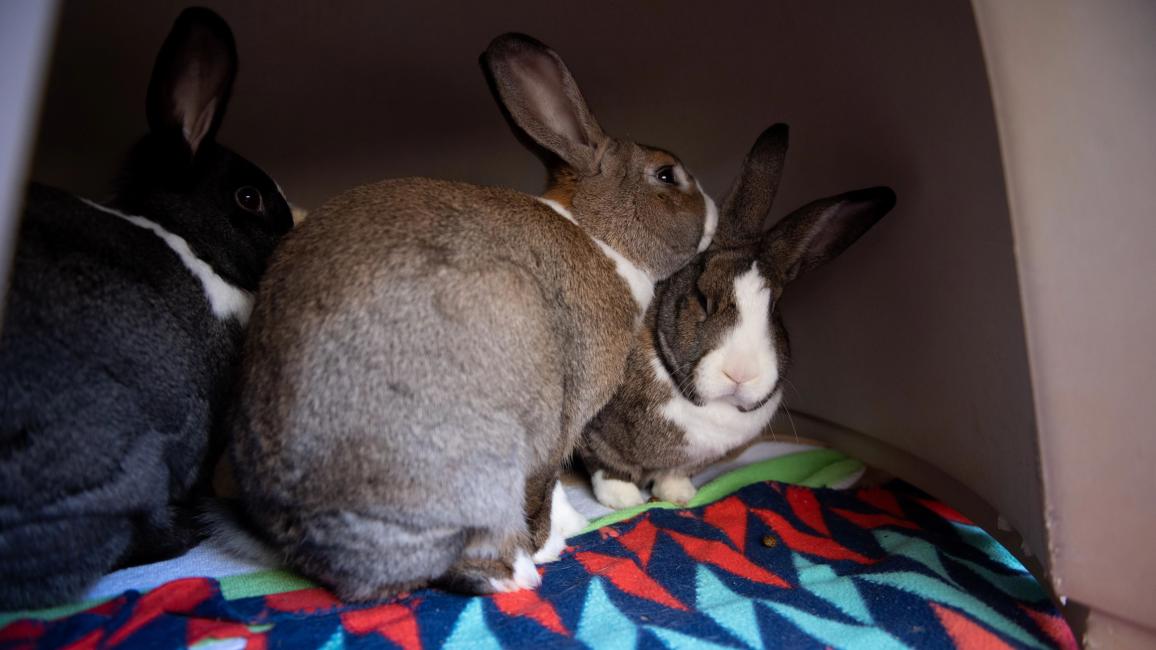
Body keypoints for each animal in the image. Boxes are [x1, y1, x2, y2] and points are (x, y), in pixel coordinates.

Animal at [227, 32, 718, 601]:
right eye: (666, 175)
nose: (714, 210)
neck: (601, 235)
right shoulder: (561, 421)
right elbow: (541, 487)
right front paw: (546, 542)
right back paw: (523, 569)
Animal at [578, 124, 896, 509]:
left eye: (775, 308)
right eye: (702, 299)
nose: (741, 374)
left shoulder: (690, 461)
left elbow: (673, 474)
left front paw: (680, 496)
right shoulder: (594, 430)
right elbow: (608, 465)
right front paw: (624, 501)